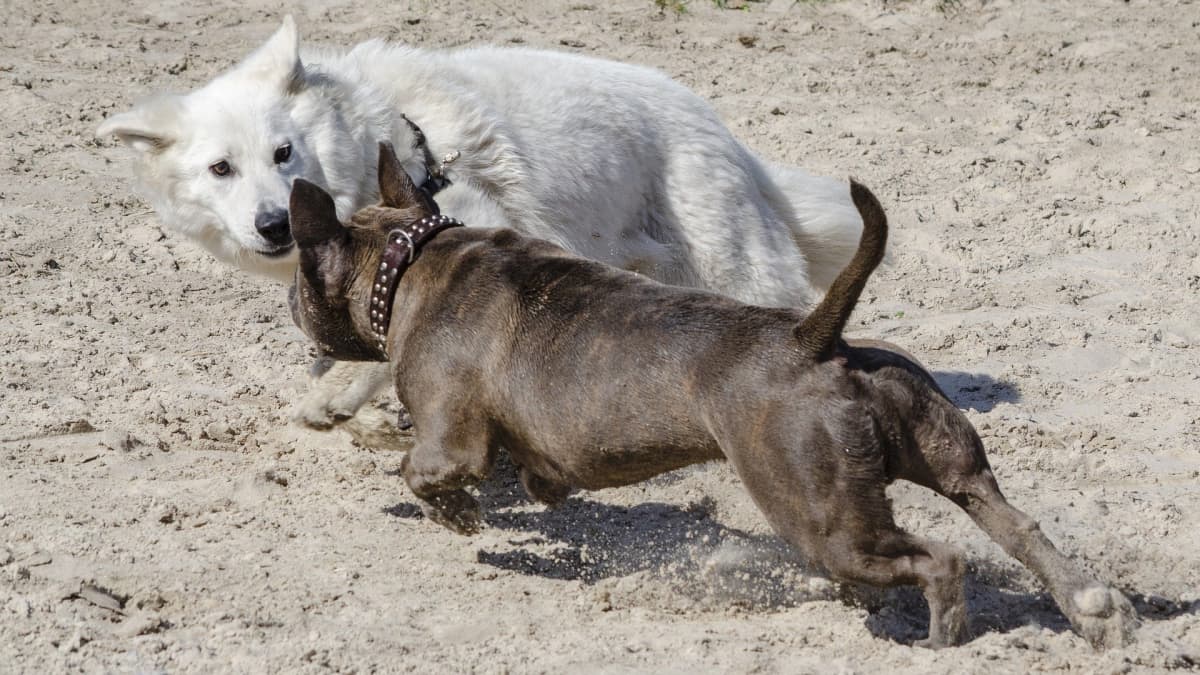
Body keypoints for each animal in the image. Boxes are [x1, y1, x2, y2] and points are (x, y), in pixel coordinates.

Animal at [93, 18, 864, 439]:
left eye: (283, 152)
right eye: (221, 168)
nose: (274, 222)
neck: (373, 138)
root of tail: (726, 135)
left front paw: (338, 393)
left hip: (732, 261)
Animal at [288, 142, 1132, 648]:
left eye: (300, 275)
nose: (291, 307)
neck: (413, 257)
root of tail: (814, 339)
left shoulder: (450, 439)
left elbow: (420, 470)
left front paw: (458, 513)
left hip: (821, 516)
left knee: (940, 558)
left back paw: (939, 638)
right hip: (947, 458)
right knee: (1014, 525)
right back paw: (1092, 610)